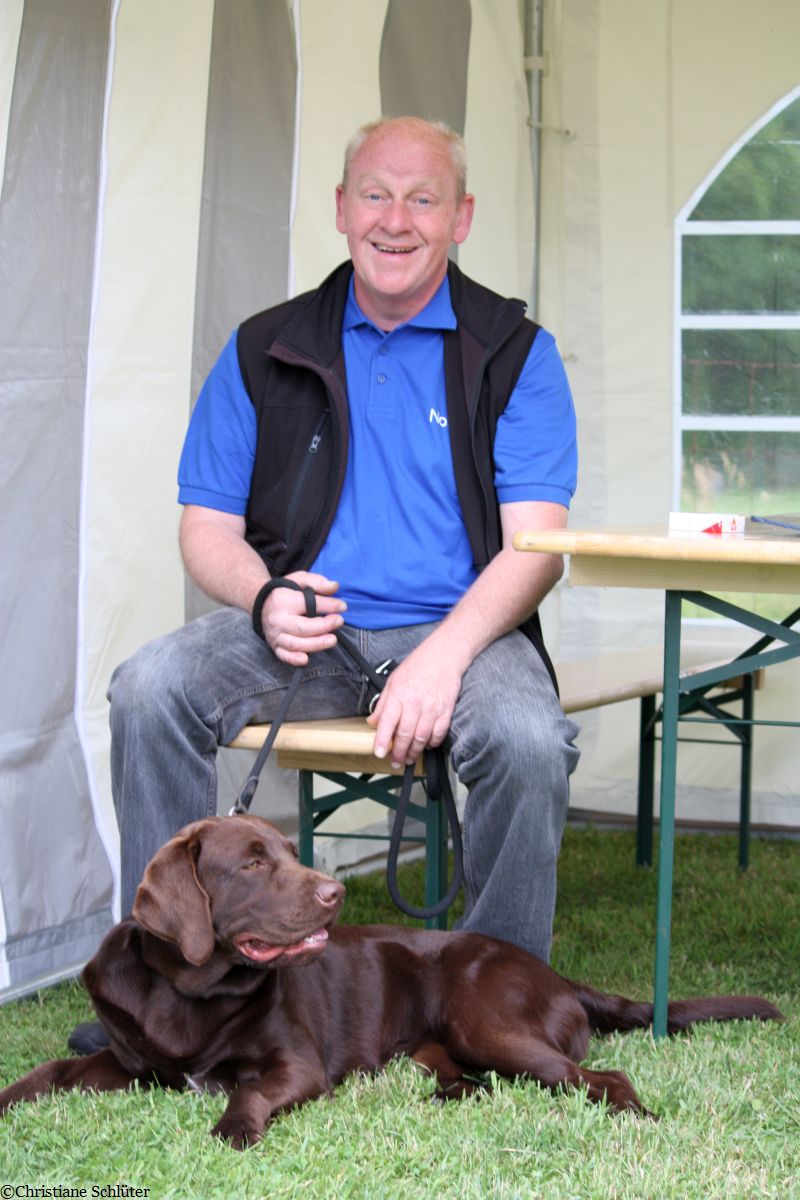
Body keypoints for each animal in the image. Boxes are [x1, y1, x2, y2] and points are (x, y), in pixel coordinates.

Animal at [0, 814, 782, 1148]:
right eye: (252, 863)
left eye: (290, 851)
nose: (334, 894)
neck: (190, 994)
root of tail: (553, 969)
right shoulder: (129, 1062)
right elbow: (49, 1070)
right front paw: (9, 1098)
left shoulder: (296, 1066)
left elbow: (249, 1090)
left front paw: (231, 1129)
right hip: (439, 1047)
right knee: (474, 1083)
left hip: (486, 1020)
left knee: (599, 1077)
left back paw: (634, 1116)